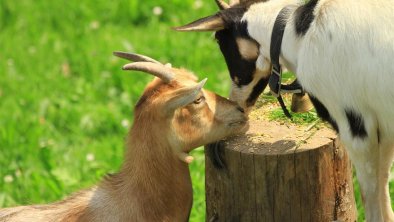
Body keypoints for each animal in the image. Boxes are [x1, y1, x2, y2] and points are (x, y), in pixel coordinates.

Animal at [177, 0, 394, 220]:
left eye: (222, 43)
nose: (236, 104)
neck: (300, 33)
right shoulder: (383, 130)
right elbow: (383, 187)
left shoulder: (356, 126)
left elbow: (371, 198)